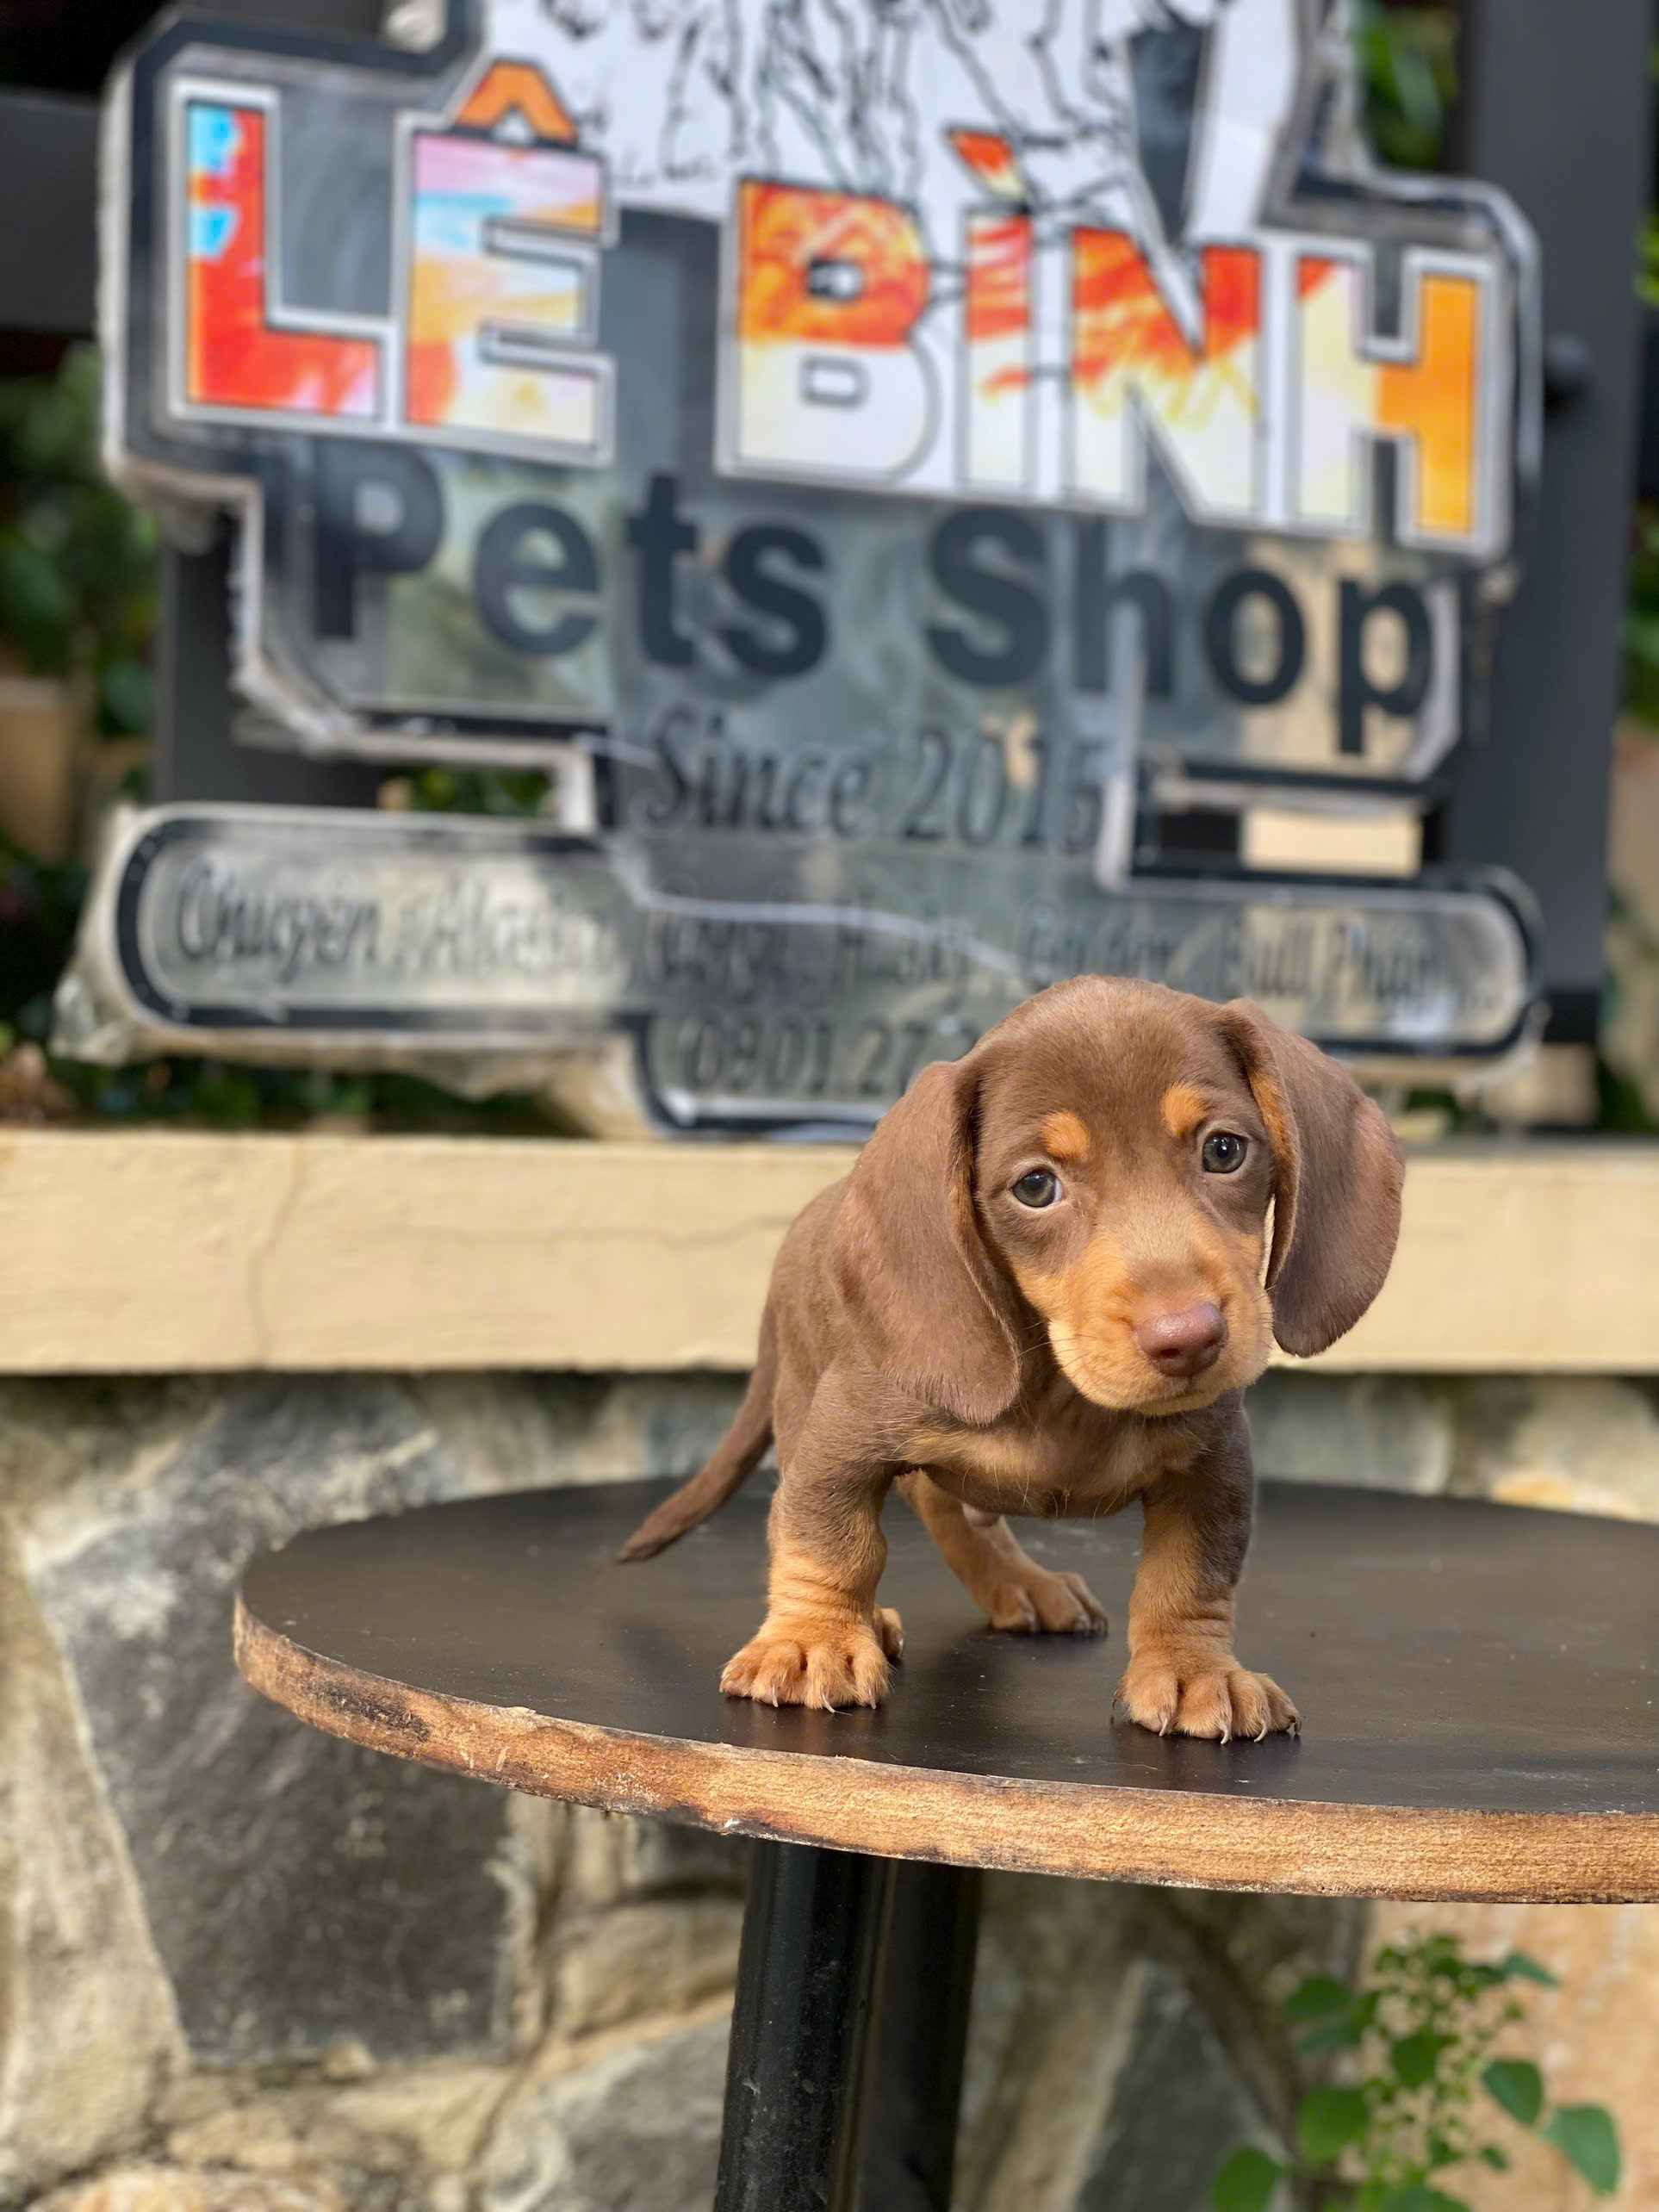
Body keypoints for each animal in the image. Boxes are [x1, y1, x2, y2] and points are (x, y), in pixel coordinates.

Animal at [620, 977, 1403, 1739]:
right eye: (1035, 1186)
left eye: (1224, 1150)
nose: (1189, 1337)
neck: (1061, 1395)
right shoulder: (841, 1436)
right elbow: (828, 1538)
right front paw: (814, 1640)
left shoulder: (1213, 1461)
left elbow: (1191, 1574)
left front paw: (1192, 1669)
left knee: (955, 1514)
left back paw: (1022, 1585)